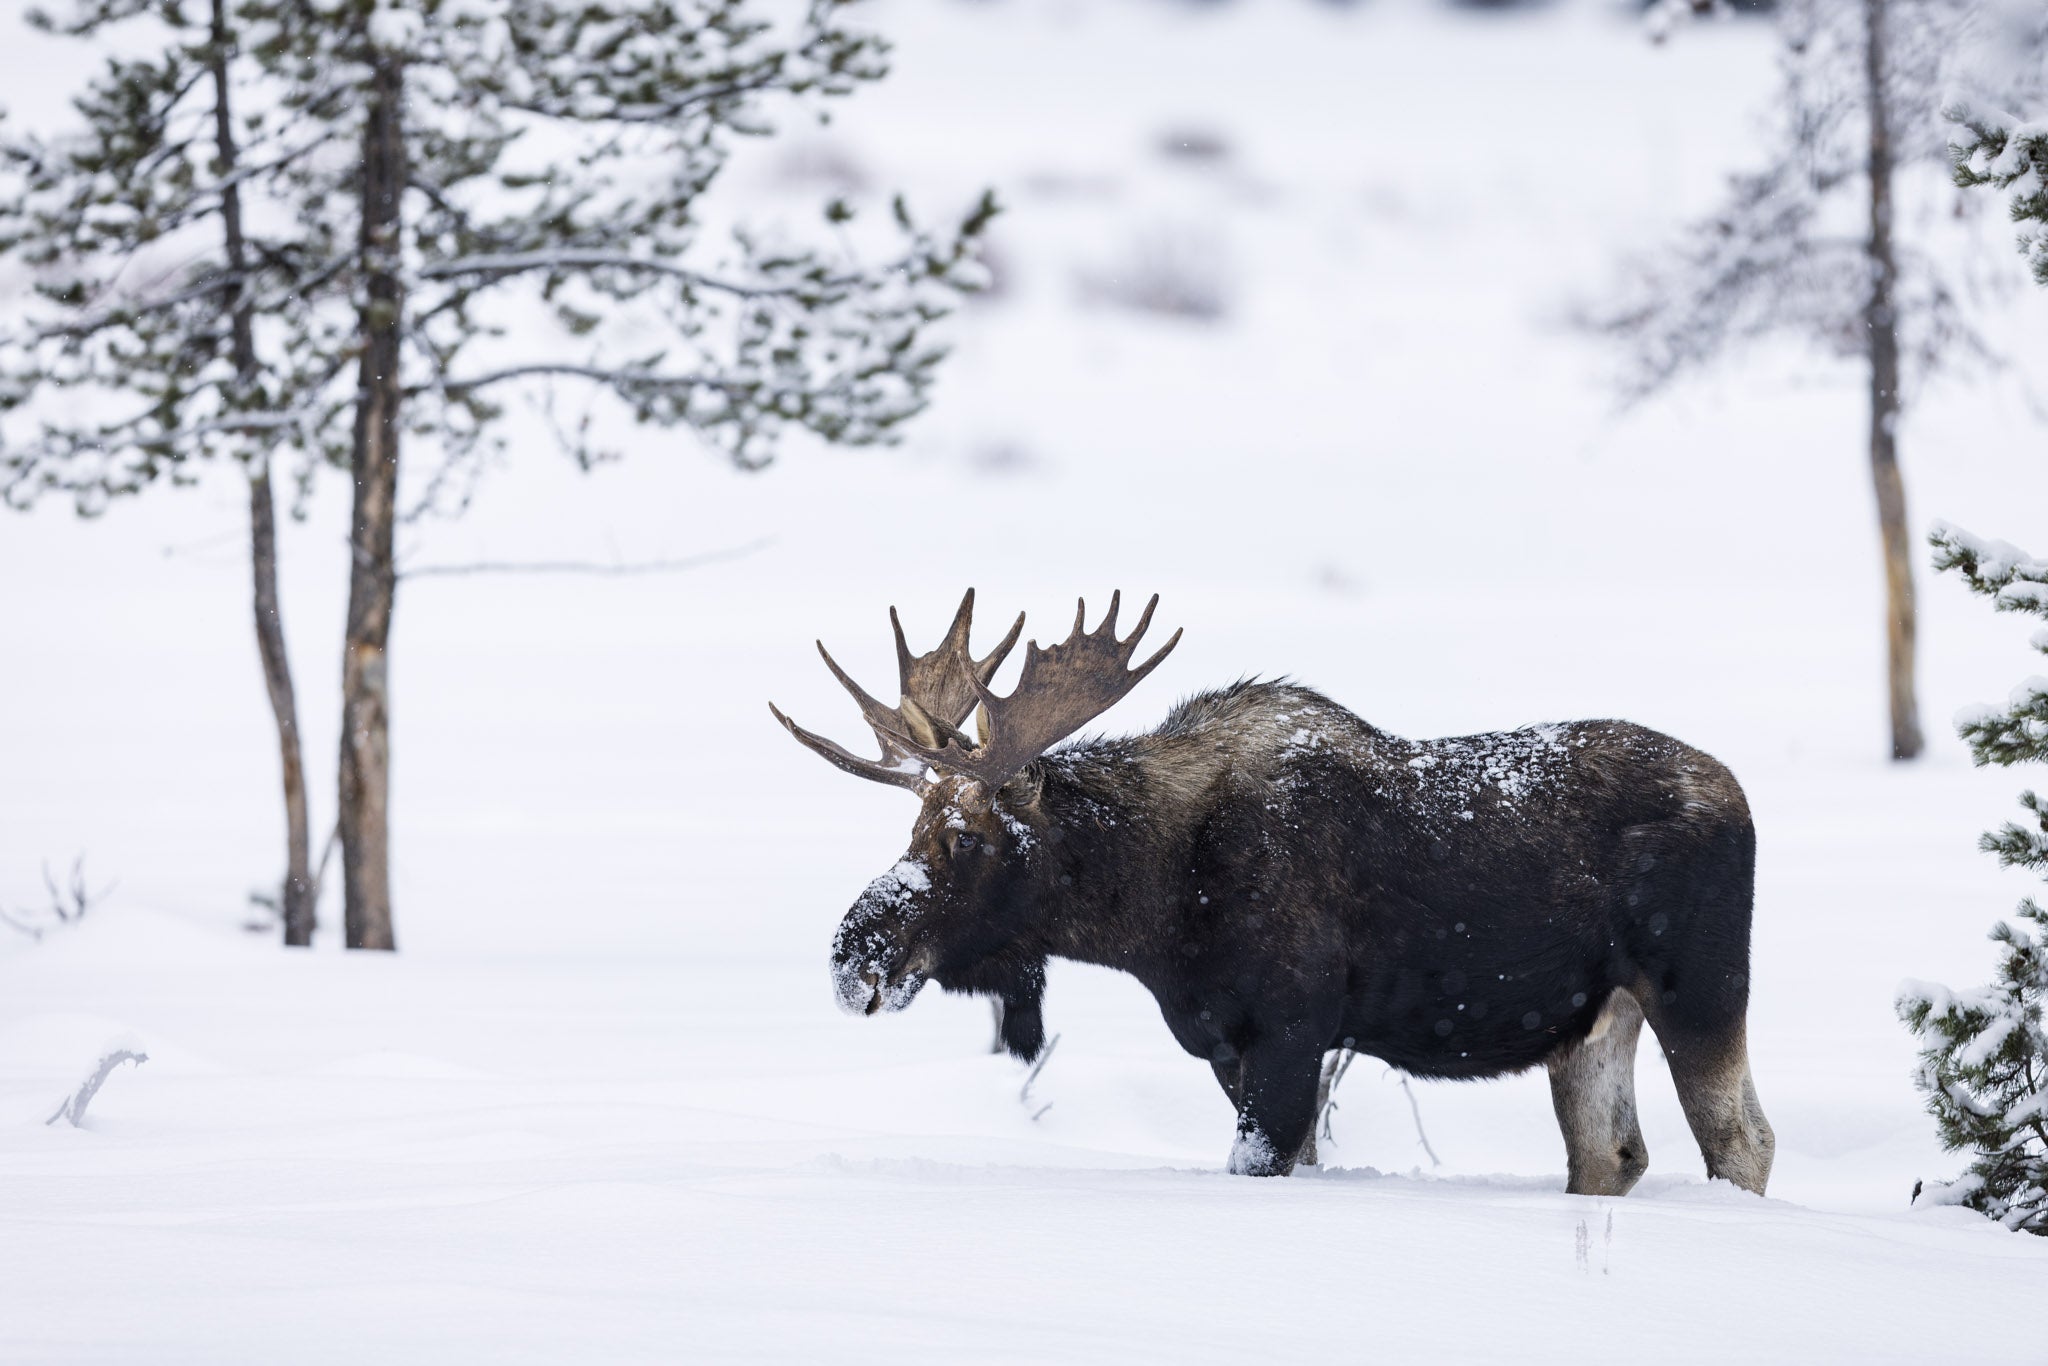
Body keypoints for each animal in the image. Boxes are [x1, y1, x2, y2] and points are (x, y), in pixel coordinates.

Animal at [774, 593, 1769, 1187]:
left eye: (965, 838)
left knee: (1742, 1141)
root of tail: (1739, 795)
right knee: (1614, 1155)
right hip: (1592, 1022)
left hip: (1701, 990)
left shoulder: (1293, 1028)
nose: (851, 960)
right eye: (911, 831)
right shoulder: (1229, 1044)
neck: (1153, 911)